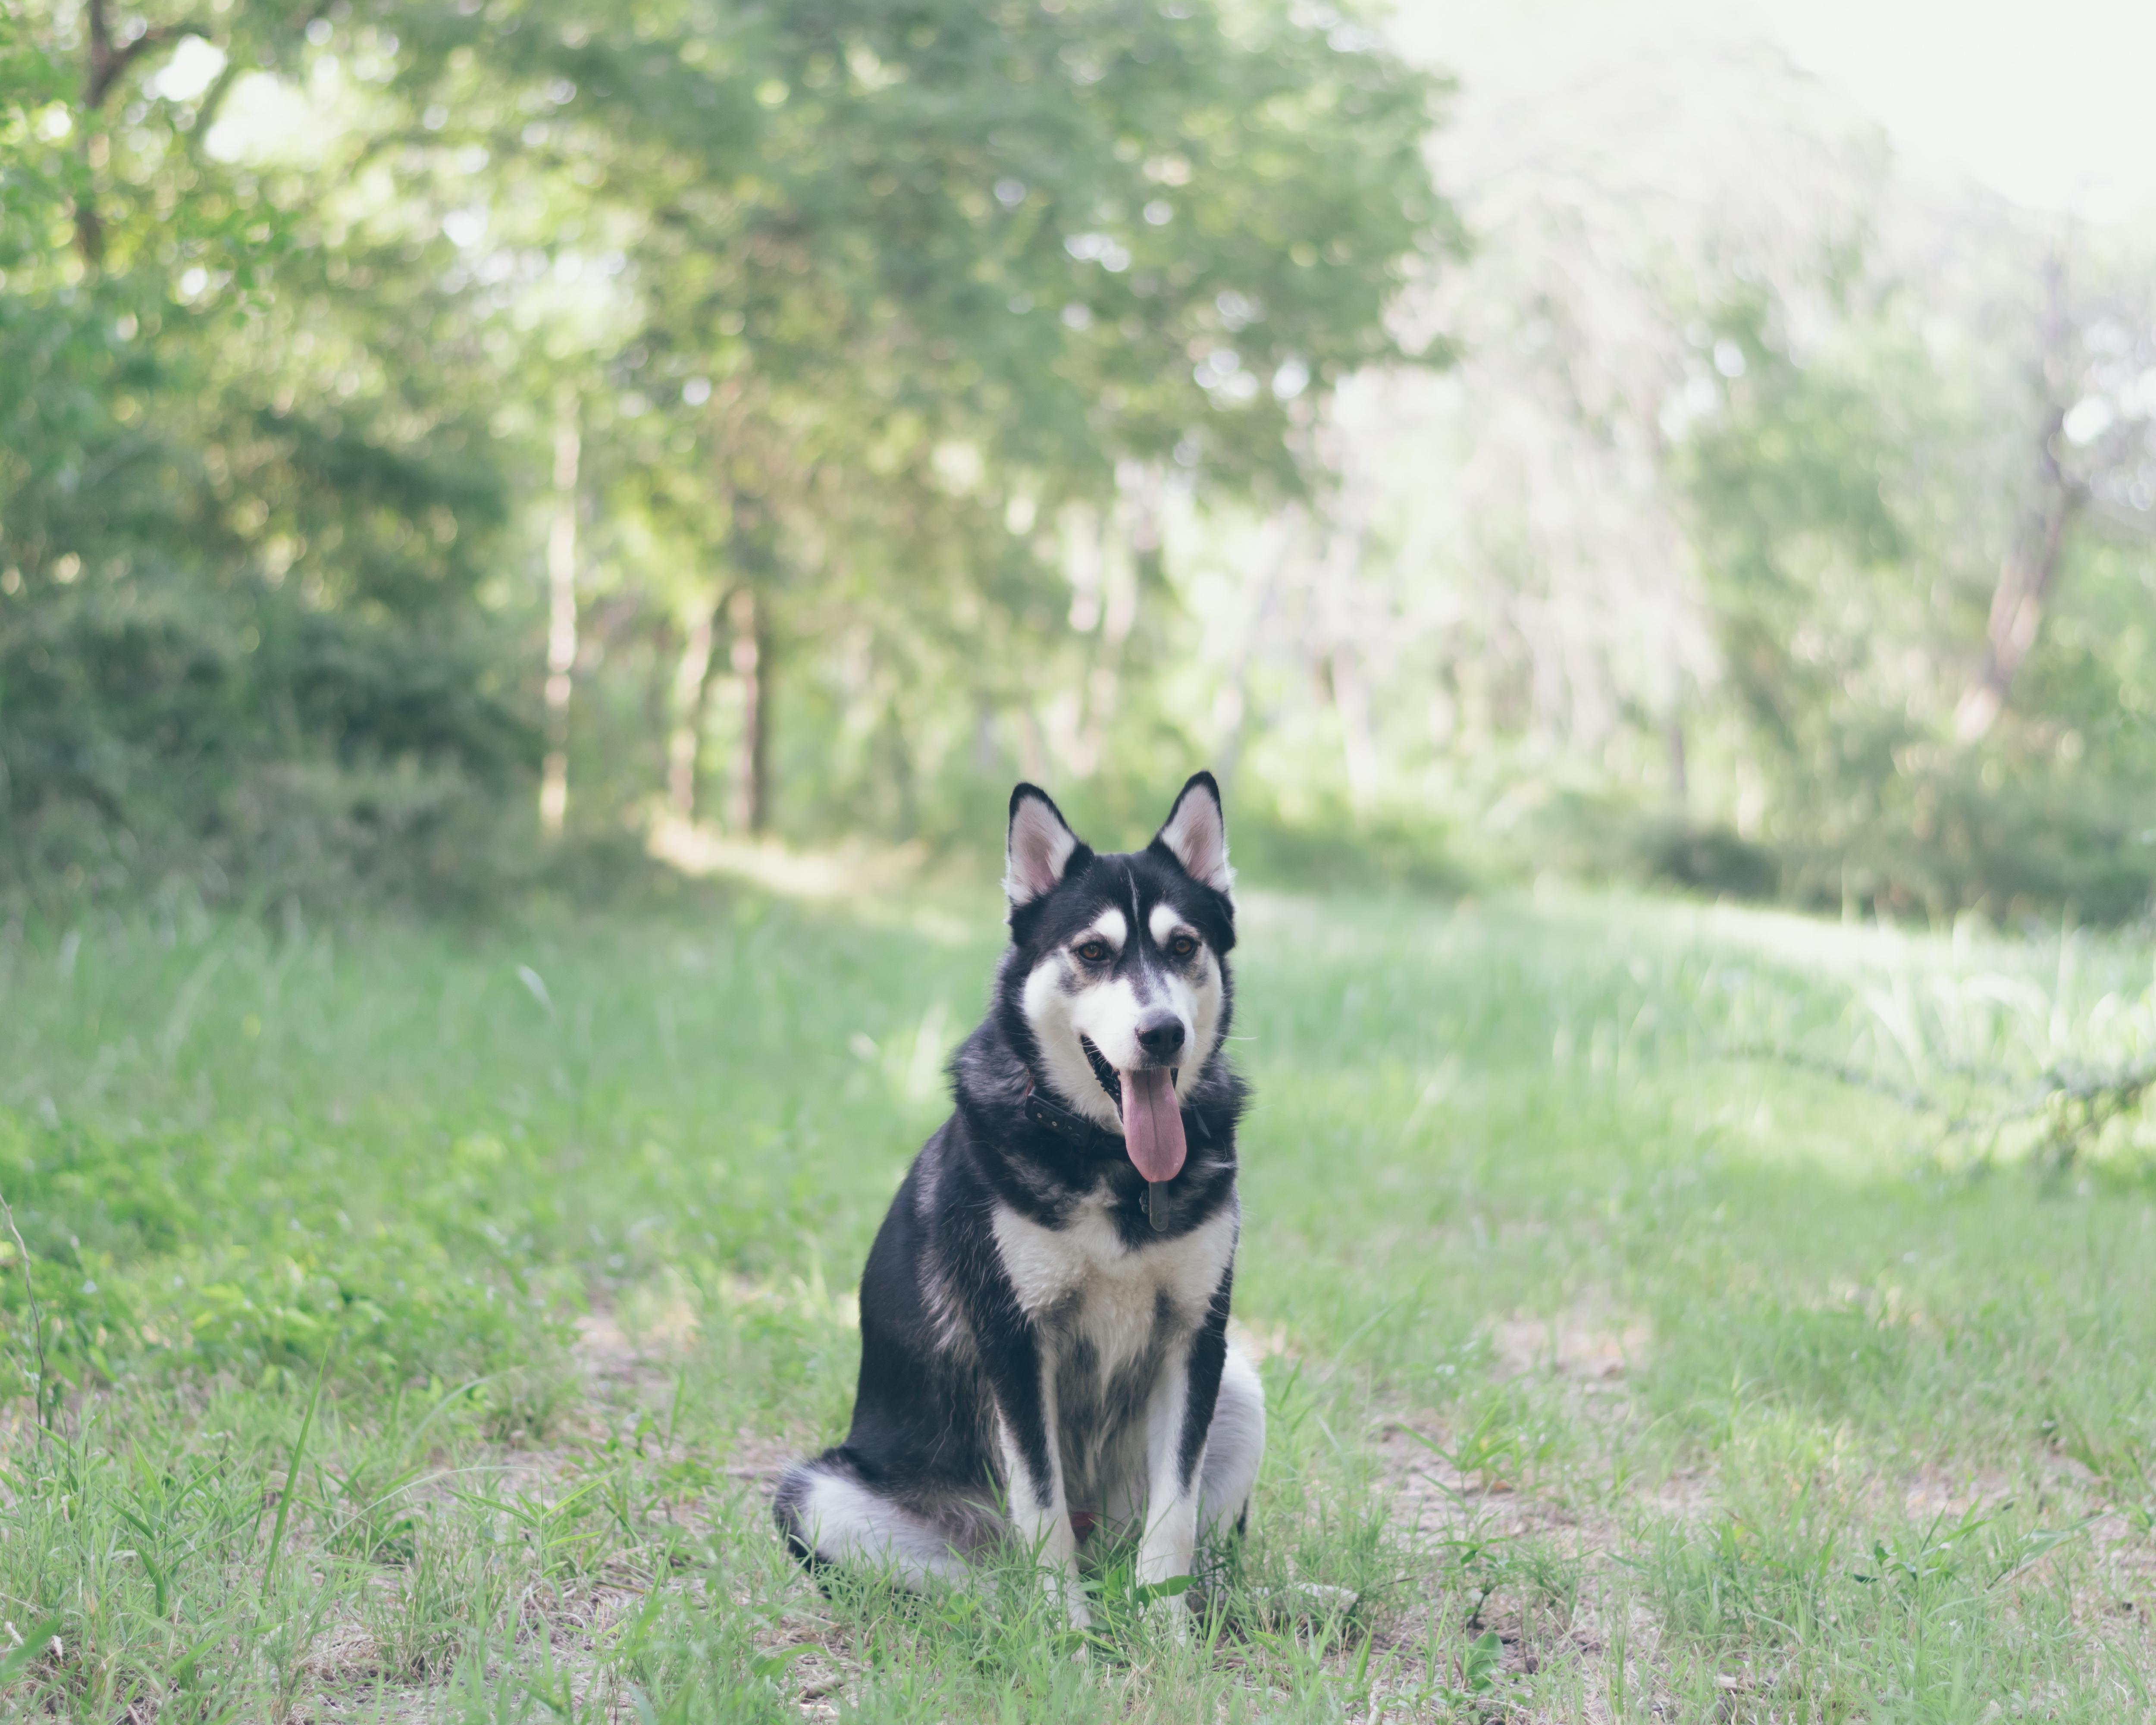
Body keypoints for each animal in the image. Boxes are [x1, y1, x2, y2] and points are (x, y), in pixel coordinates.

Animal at [780, 776, 1259, 1622]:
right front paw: (1066, 1633)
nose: (1163, 1033)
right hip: (819, 1497)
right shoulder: (1013, 1340)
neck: (1112, 1160)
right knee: (993, 1576)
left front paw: (1166, 1632)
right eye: (1093, 952)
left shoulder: (1197, 1339)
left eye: (1183, 946)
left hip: (1242, 1390)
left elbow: (1174, 1515)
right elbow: (1041, 1507)